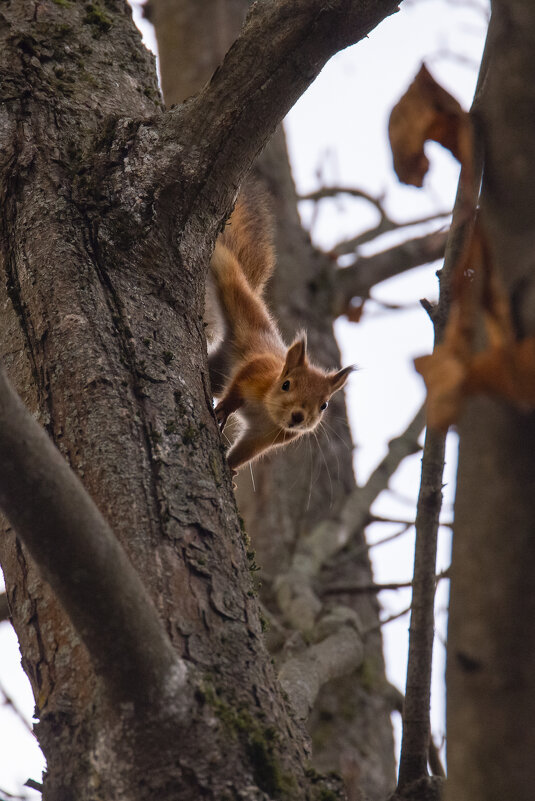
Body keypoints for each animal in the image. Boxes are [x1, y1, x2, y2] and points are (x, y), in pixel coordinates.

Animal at [209, 184, 356, 472]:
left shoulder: (268, 435)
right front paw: (223, 410)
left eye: (324, 405)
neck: (266, 410)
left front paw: (229, 470)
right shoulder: (255, 372)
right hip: (227, 278)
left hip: (218, 368)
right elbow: (236, 388)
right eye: (286, 384)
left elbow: (245, 452)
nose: (298, 416)